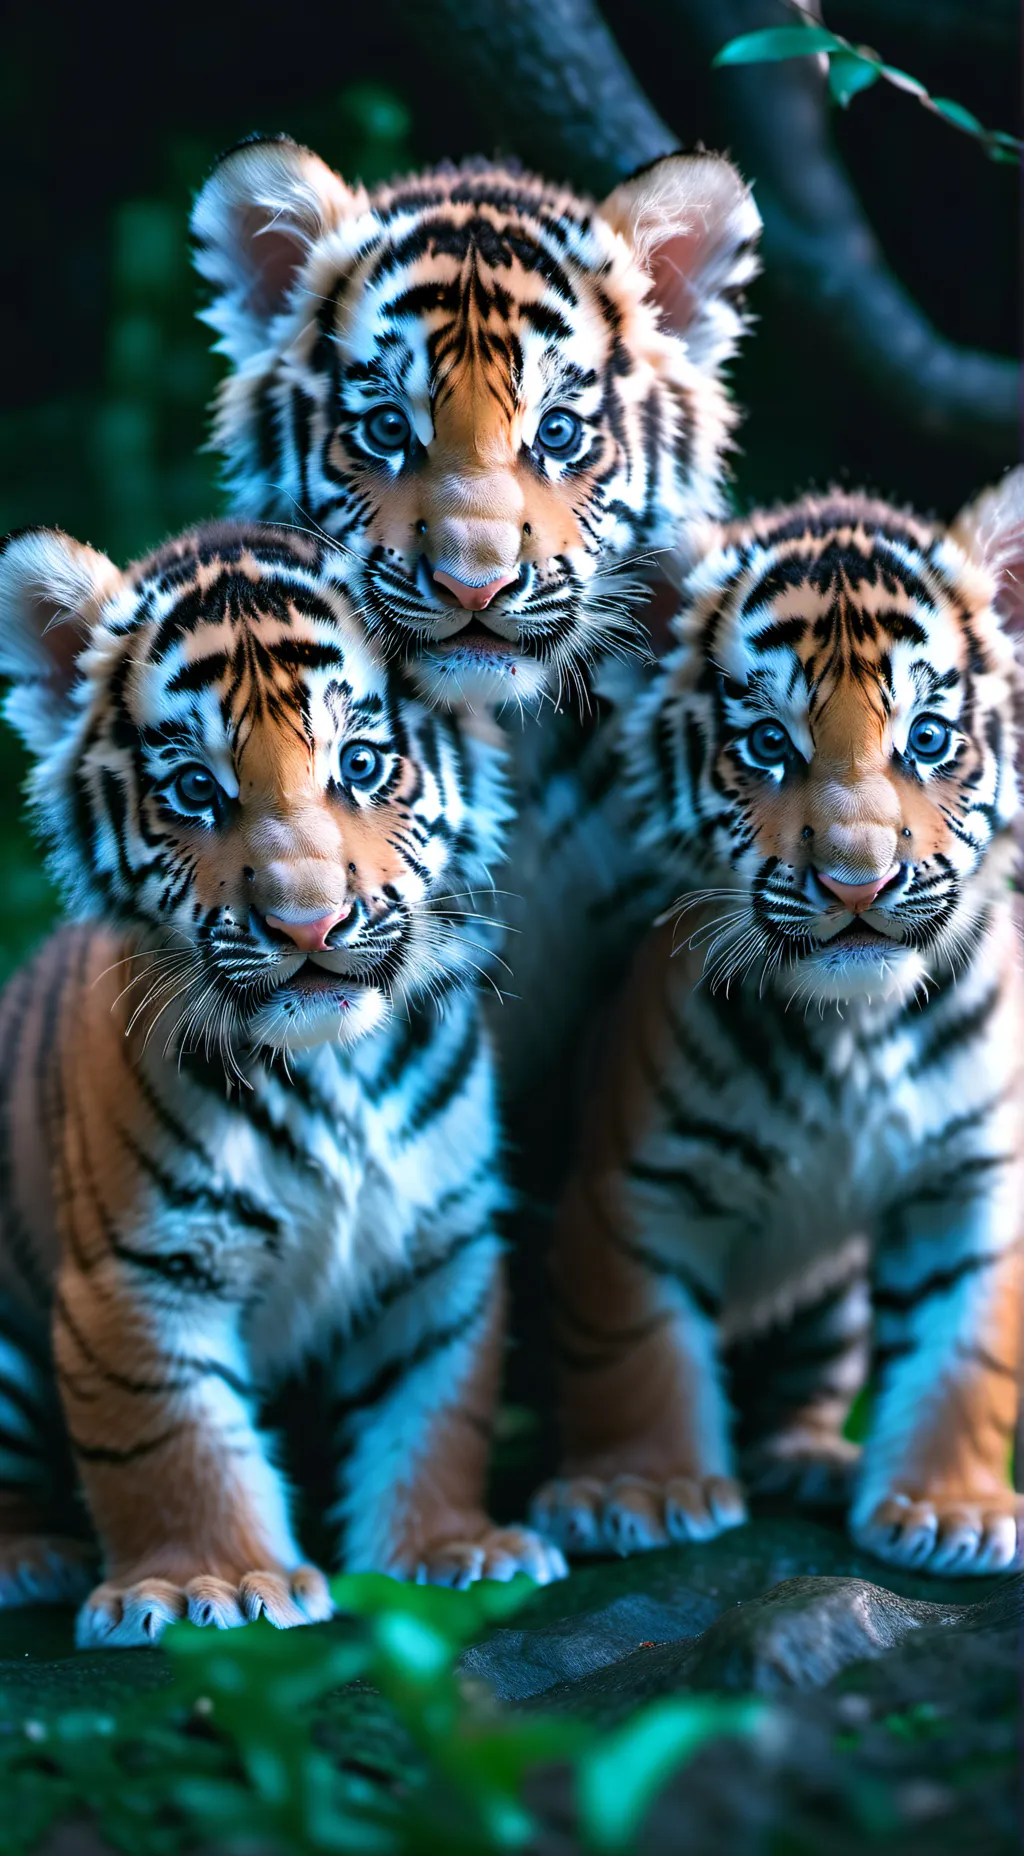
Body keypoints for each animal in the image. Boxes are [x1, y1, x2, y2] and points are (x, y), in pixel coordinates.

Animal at [0, 518, 566, 1650]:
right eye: (193, 790)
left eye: (361, 763)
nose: (309, 924)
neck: (332, 1072)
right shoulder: (141, 1276)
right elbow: (168, 1442)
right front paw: (204, 1585)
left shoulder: (440, 1249)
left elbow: (437, 1408)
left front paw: (453, 1552)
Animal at [529, 472, 1024, 1578]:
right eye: (767, 744)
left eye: (928, 737)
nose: (856, 880)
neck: (857, 1032)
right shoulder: (633, 1186)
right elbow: (634, 1343)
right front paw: (643, 1489)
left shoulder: (972, 1182)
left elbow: (965, 1355)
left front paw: (952, 1507)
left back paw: (811, 1463)